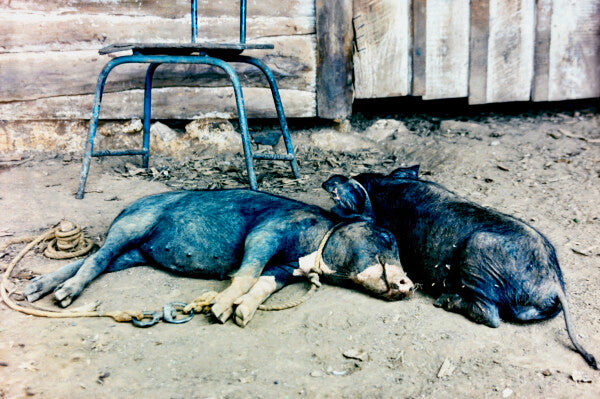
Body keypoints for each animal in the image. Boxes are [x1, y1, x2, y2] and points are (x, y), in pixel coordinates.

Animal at [25, 189, 414, 326]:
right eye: (386, 237)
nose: (409, 284)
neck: (314, 251)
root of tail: (126, 207)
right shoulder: (267, 232)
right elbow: (246, 273)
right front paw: (219, 310)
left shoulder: (286, 269)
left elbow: (263, 284)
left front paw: (241, 314)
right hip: (133, 225)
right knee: (97, 258)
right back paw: (61, 297)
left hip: (133, 253)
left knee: (99, 261)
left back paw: (33, 291)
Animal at [326, 167, 596, 370]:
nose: (328, 182)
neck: (385, 189)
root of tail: (554, 283)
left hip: (477, 257)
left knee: (490, 314)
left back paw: (444, 301)